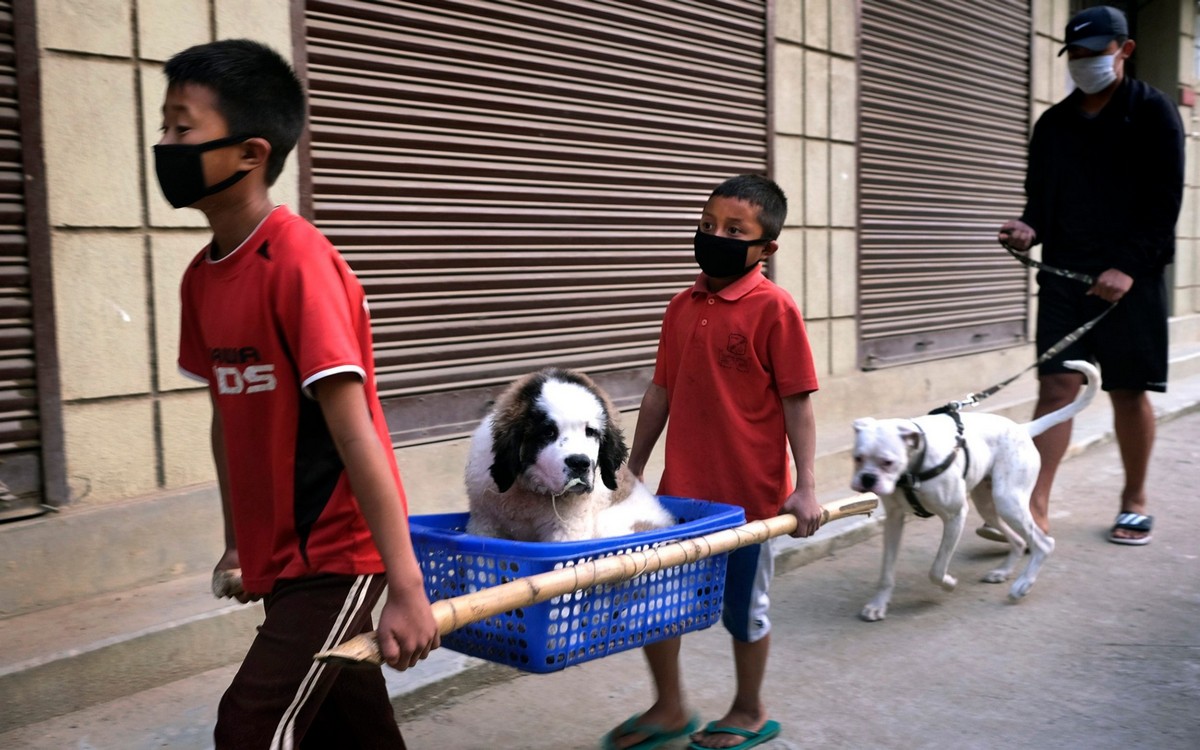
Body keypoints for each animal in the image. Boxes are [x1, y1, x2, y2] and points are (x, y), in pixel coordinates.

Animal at [465, 367, 676, 537]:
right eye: (548, 432)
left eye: (590, 432)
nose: (579, 463)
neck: (530, 490)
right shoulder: (484, 522)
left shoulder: (567, 529)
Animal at [854, 357, 1099, 619]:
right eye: (857, 458)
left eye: (887, 462)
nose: (867, 479)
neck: (916, 460)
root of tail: (1022, 428)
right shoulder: (894, 521)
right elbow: (886, 571)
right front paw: (878, 604)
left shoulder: (955, 516)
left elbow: (937, 569)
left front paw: (949, 583)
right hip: (989, 506)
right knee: (1019, 541)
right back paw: (1002, 572)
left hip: (1008, 502)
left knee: (1043, 544)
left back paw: (1022, 585)